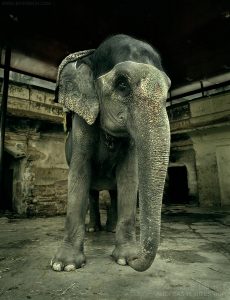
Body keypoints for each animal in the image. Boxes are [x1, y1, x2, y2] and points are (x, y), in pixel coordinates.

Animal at [51, 33, 171, 272]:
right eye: (122, 84)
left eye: (168, 92)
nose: (136, 259)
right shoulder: (82, 122)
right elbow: (79, 173)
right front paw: (64, 265)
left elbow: (129, 176)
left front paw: (124, 258)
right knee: (92, 192)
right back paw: (93, 230)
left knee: (114, 191)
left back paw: (110, 230)